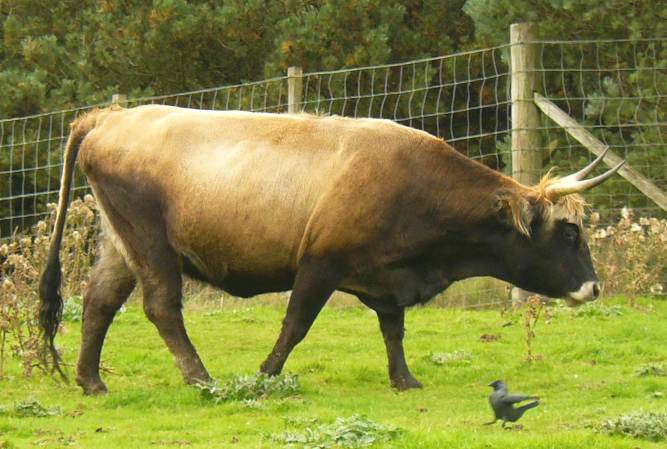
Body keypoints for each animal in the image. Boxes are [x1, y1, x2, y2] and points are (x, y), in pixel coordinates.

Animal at [39, 105, 624, 392]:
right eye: (568, 233)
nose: (595, 287)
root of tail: (110, 117)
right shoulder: (321, 264)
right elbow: (296, 323)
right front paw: (266, 375)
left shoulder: (387, 277)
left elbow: (393, 331)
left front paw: (404, 380)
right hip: (151, 243)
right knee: (162, 307)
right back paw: (200, 378)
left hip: (121, 244)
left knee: (98, 304)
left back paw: (91, 381)